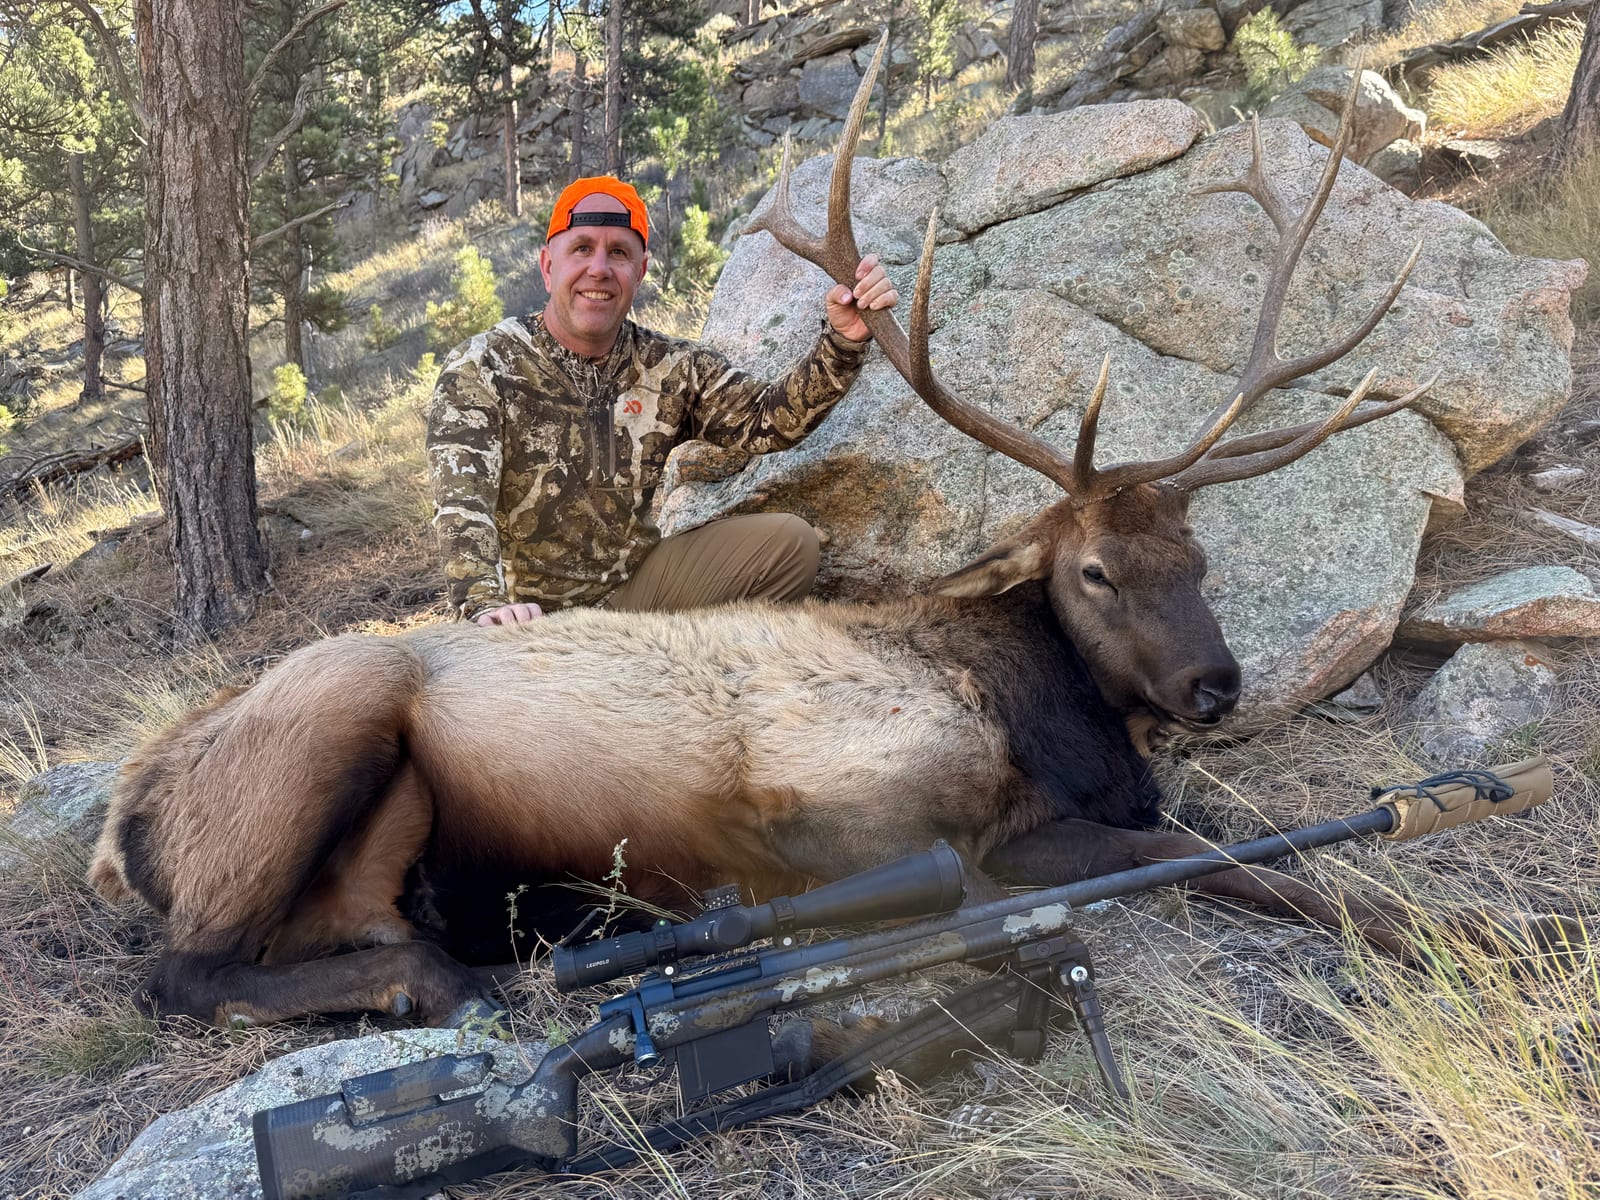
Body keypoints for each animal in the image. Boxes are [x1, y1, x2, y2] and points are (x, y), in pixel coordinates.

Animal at [87, 46, 1545, 1031]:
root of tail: (133, 823)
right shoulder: (936, 835)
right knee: (181, 971)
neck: (1048, 717)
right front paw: (1476, 930)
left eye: (1201, 563)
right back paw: (439, 976)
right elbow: (1217, 861)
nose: (1214, 685)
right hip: (323, 731)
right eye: (1093, 570)